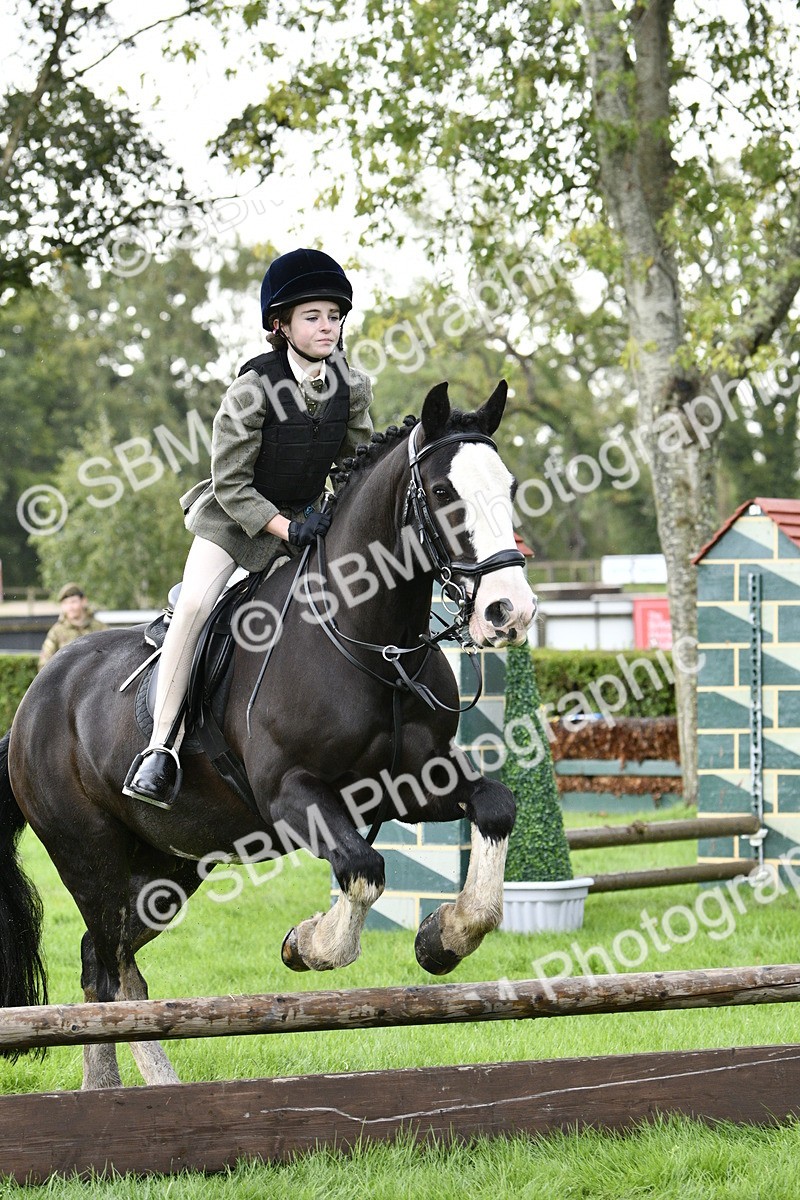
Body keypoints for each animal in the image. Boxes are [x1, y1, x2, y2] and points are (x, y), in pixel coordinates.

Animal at [0, 380, 536, 1089]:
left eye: (509, 486)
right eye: (445, 492)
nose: (510, 612)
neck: (368, 638)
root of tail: (31, 703)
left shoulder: (412, 783)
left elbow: (494, 807)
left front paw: (443, 937)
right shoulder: (292, 794)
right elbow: (363, 869)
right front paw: (307, 943)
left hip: (166, 870)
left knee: (110, 960)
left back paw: (152, 1086)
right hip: (91, 858)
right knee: (103, 965)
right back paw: (105, 1092)